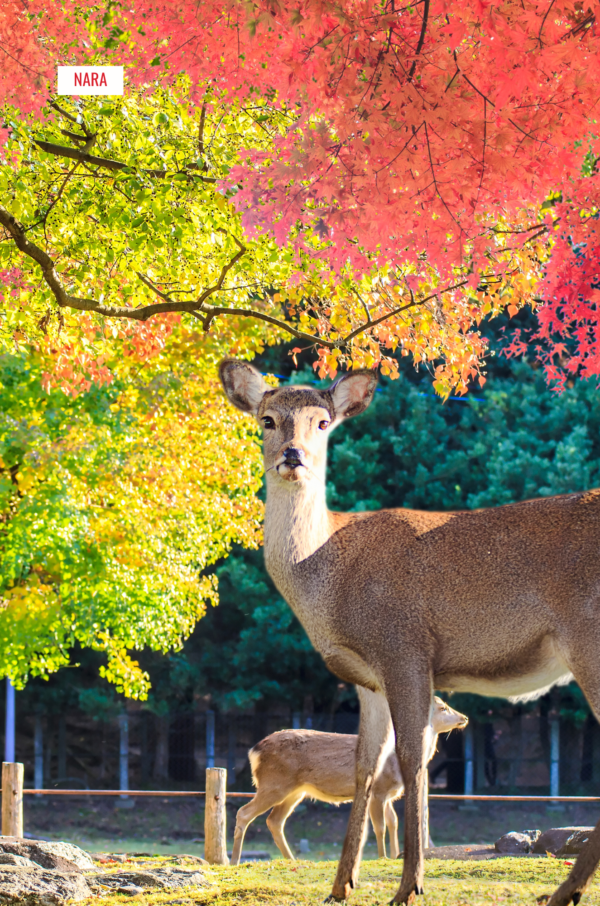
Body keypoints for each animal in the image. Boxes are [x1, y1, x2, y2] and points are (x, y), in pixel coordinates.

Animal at [231, 692, 468, 860]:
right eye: (443, 707)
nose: (464, 717)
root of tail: (254, 751)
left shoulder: (389, 794)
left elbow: (393, 822)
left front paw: (394, 856)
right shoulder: (378, 790)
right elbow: (379, 826)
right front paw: (382, 857)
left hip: (295, 791)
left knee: (274, 821)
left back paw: (292, 860)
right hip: (274, 784)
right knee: (244, 812)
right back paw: (234, 860)